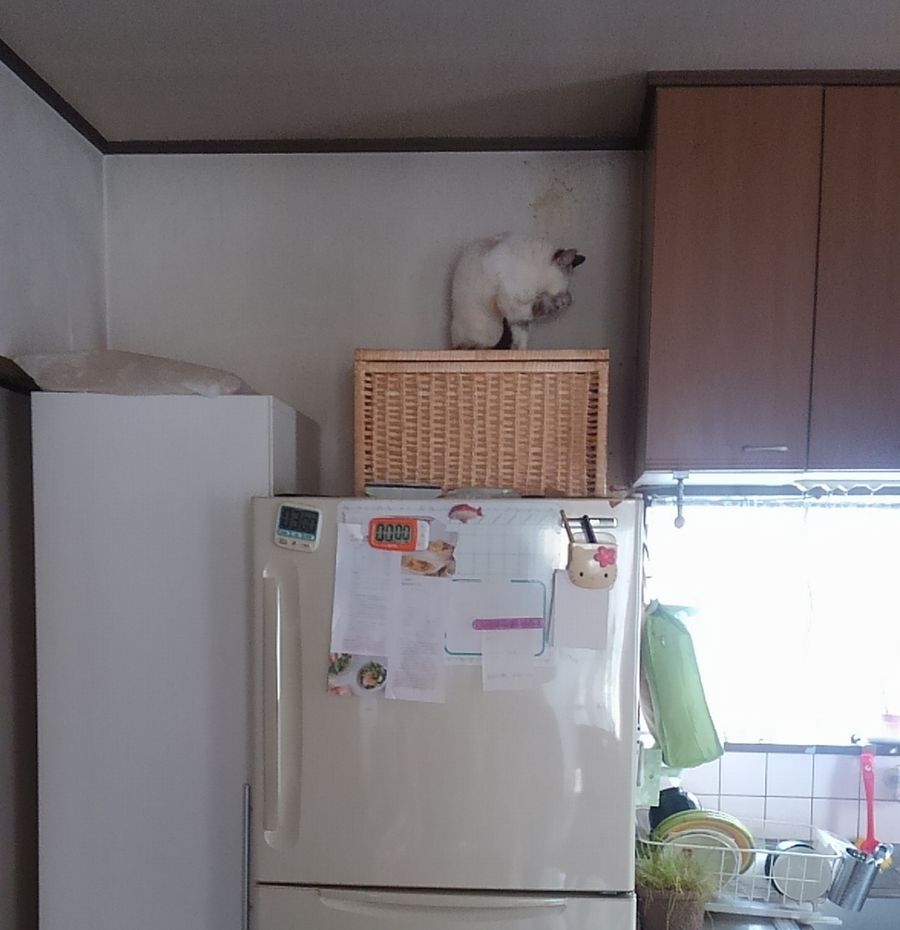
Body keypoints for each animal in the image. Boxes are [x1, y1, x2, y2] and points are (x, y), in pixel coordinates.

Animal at [450, 234, 585, 350]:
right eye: (563, 288)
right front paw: (565, 300)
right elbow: (541, 307)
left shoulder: (520, 319)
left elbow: (521, 338)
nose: (569, 298)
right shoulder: (512, 304)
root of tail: (455, 344)